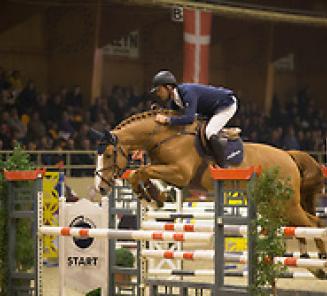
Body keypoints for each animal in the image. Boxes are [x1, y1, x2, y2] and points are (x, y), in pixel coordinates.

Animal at [93, 109, 326, 278]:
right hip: (272, 205)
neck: (166, 137)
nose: (101, 188)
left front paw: (150, 197)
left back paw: (320, 263)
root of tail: (289, 156)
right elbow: (143, 174)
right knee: (302, 225)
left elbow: (141, 171)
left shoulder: (180, 173)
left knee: (313, 223)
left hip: (285, 204)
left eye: (108, 154)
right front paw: (156, 197)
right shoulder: (169, 173)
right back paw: (312, 264)